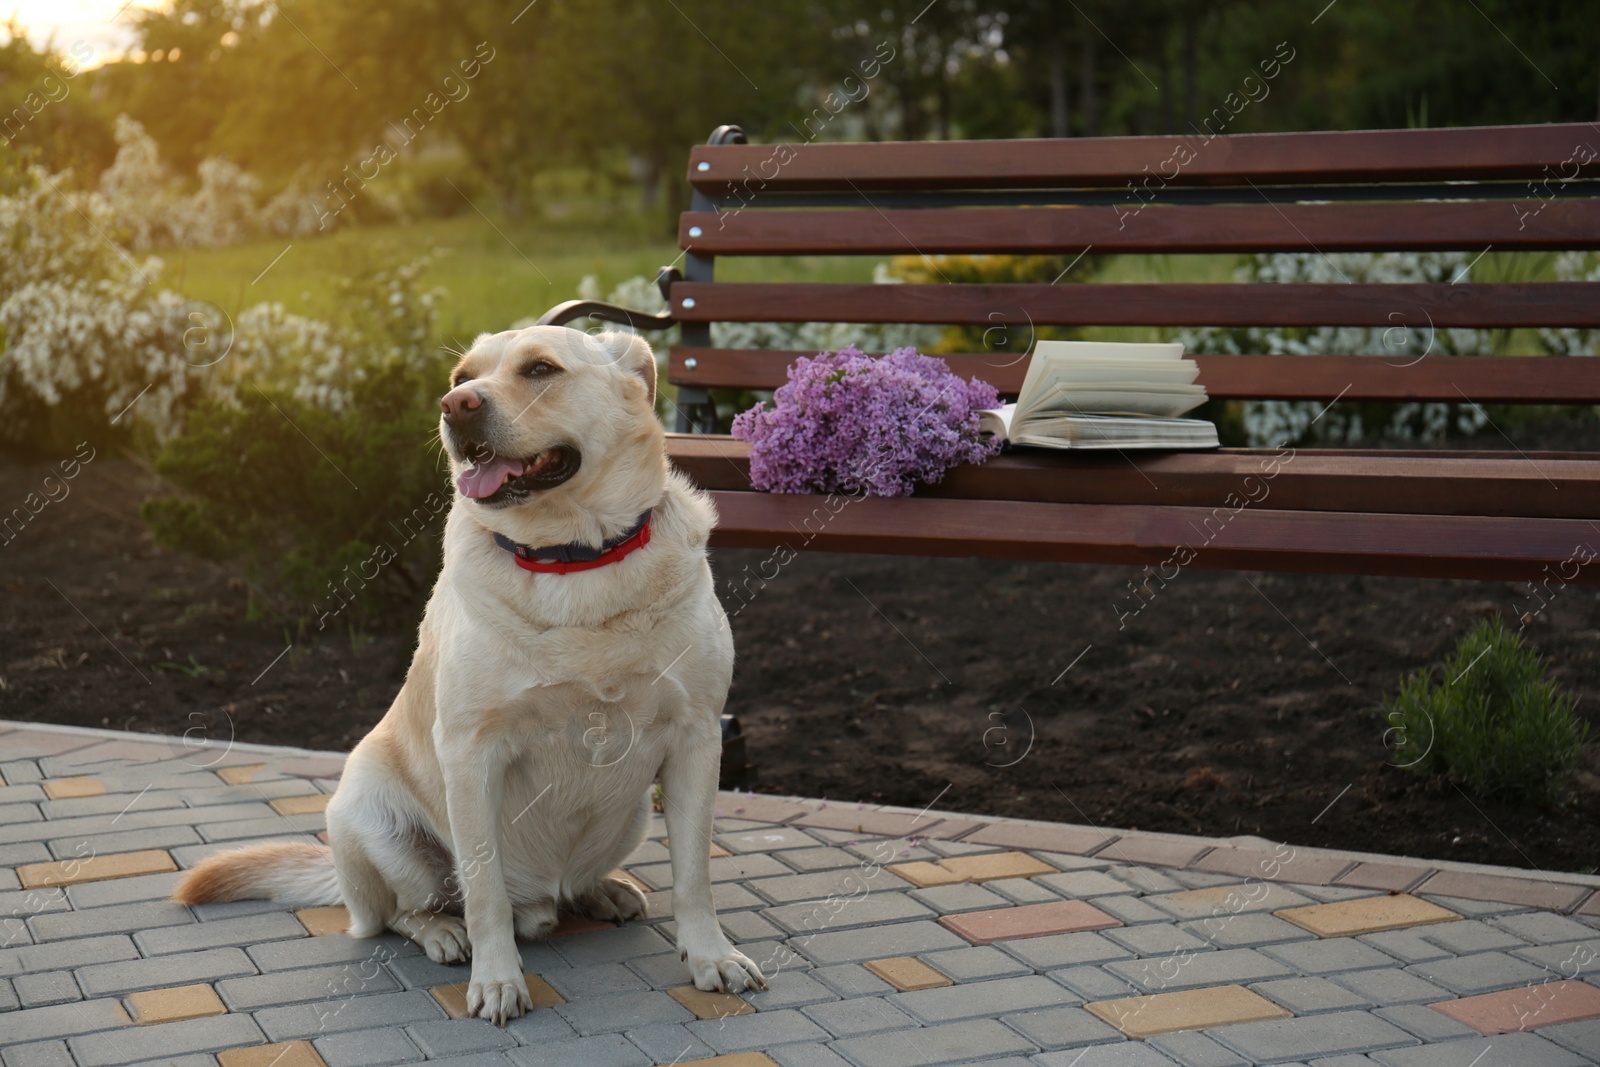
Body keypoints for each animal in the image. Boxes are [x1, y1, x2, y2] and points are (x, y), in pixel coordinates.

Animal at [178, 327, 764, 1023]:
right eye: (462, 377)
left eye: (540, 369)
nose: (454, 405)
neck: (574, 557)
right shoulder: (471, 752)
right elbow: (484, 890)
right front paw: (498, 981)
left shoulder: (697, 737)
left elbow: (695, 874)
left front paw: (710, 957)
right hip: (371, 818)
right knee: (400, 914)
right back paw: (443, 932)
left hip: (633, 817)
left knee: (567, 887)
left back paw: (600, 891)